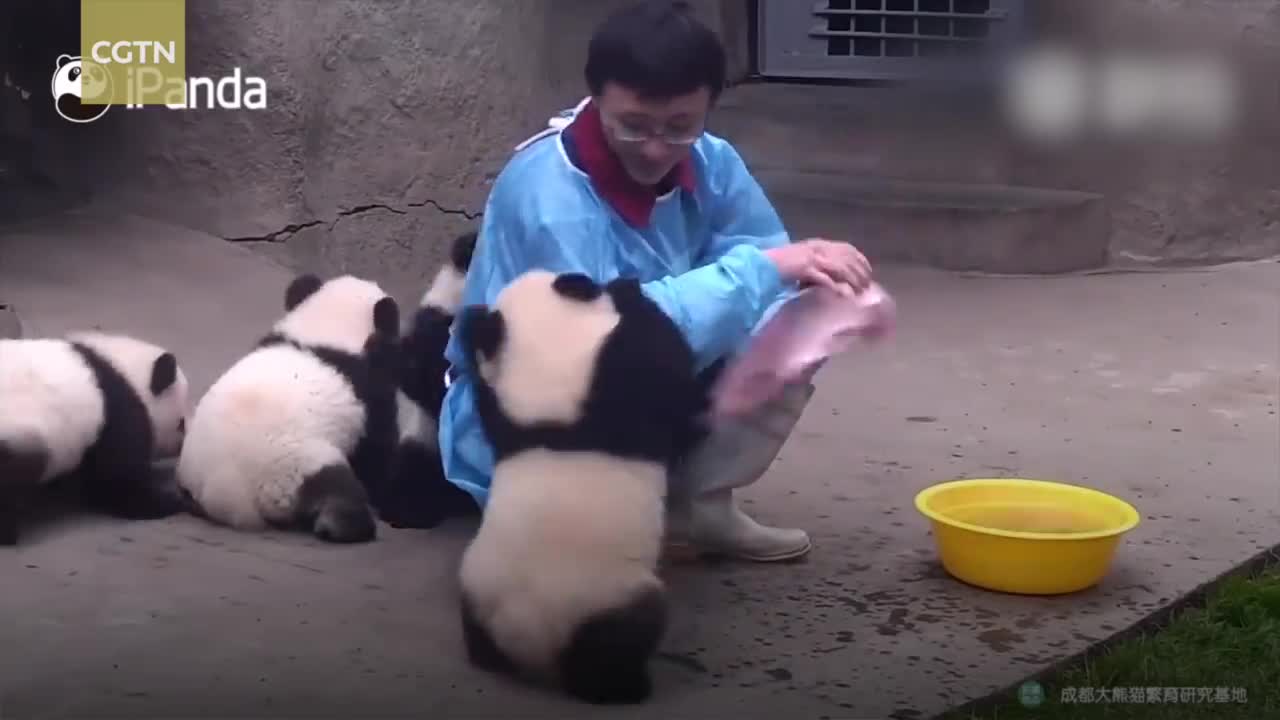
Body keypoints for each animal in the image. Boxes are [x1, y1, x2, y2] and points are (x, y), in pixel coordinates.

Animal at [176, 271, 399, 540]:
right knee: (335, 488)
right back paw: (345, 524)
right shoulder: (368, 387)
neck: (327, 328)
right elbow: (376, 448)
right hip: (293, 468)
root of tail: (229, 495)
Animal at [453, 267, 711, 702]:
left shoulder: (514, 423)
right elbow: (664, 361)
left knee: (477, 626)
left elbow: (490, 408)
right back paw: (627, 686)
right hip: (608, 598)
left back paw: (487, 656)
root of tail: (528, 642)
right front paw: (629, 291)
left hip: (478, 582)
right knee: (621, 638)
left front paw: (471, 326)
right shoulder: (618, 390)